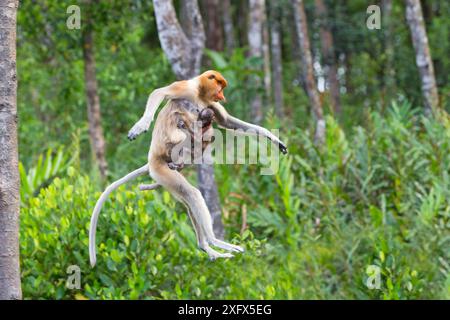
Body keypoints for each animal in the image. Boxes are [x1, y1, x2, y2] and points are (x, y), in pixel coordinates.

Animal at [89, 70, 288, 268]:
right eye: (220, 85)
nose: (221, 95)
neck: (200, 93)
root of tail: (152, 161)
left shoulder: (209, 103)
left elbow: (226, 121)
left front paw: (274, 139)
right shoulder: (185, 88)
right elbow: (159, 93)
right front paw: (140, 126)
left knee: (188, 199)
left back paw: (208, 248)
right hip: (161, 171)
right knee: (191, 192)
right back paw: (215, 241)